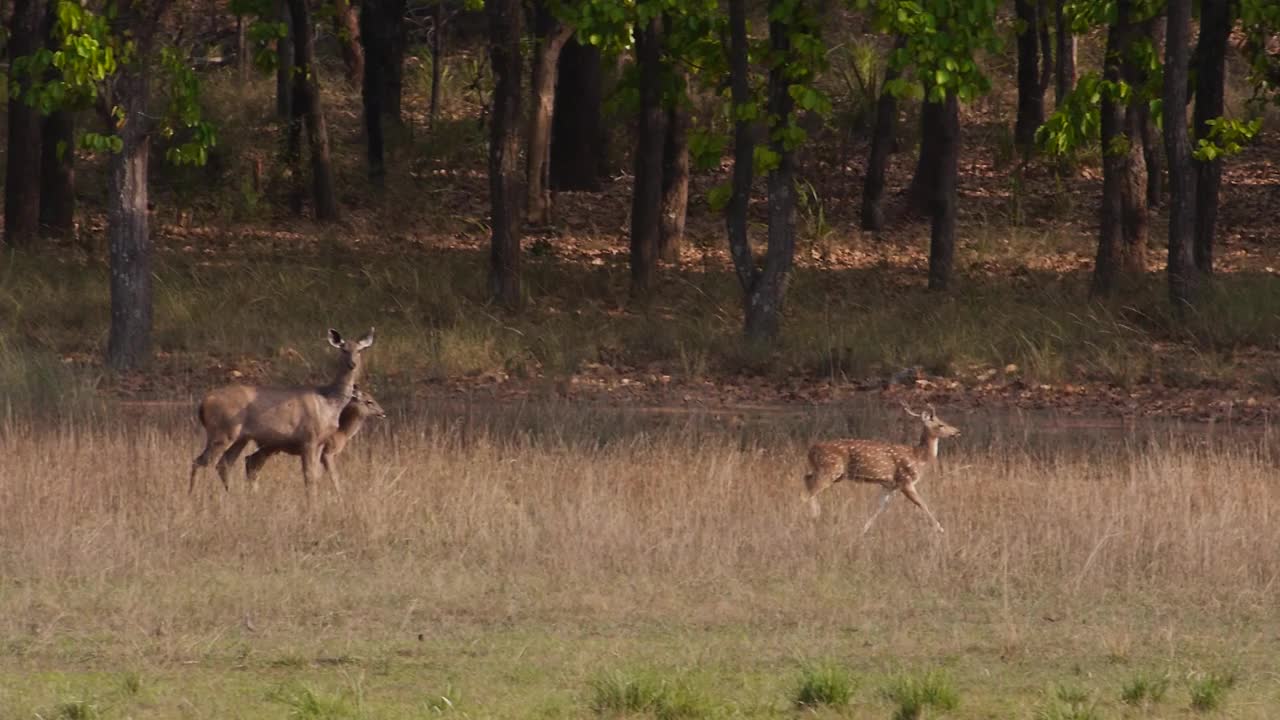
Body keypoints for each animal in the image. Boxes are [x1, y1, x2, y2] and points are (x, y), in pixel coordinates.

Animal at [241, 384, 386, 489]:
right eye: (369, 401)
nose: (383, 412)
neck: (343, 433)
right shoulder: (328, 452)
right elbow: (334, 477)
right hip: (271, 446)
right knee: (251, 462)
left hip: (271, 448)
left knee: (250, 461)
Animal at [798, 404, 962, 532]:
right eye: (941, 424)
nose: (957, 431)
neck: (918, 457)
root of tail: (811, 450)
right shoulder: (905, 480)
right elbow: (922, 504)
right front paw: (940, 528)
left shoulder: (889, 485)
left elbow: (878, 508)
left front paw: (863, 530)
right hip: (830, 469)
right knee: (805, 494)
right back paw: (809, 518)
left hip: (831, 472)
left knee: (806, 479)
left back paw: (816, 515)